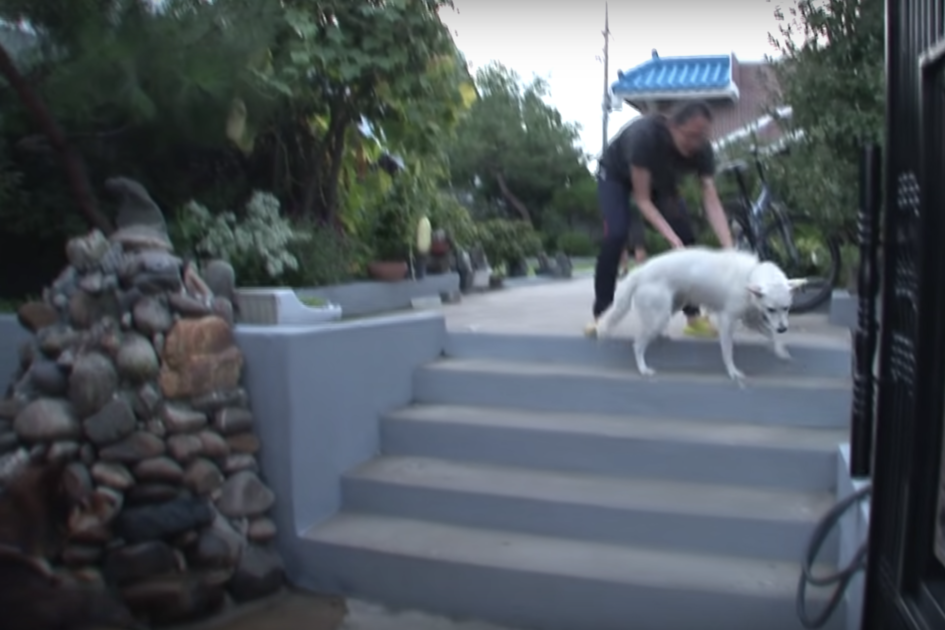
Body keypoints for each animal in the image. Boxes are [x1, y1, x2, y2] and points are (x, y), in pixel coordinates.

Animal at [592, 249, 804, 382]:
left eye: (786, 308)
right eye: (771, 309)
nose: (783, 328)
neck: (749, 276)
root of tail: (641, 271)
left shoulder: (750, 319)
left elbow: (771, 334)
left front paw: (779, 350)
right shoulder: (727, 321)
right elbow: (728, 351)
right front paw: (733, 372)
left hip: (672, 307)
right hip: (660, 316)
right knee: (637, 345)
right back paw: (643, 368)